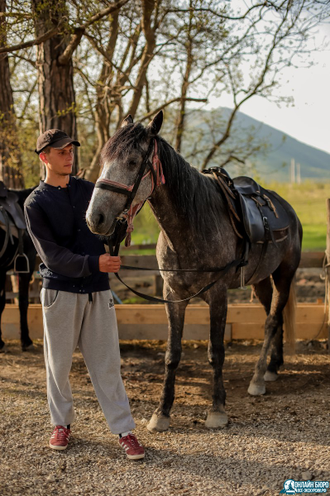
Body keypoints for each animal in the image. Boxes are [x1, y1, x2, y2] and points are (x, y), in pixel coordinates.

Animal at [86, 110, 302, 432]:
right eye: (104, 159)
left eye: (133, 162)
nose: (95, 218)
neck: (191, 226)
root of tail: (287, 209)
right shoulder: (173, 296)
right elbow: (172, 354)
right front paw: (162, 411)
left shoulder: (218, 296)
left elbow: (216, 352)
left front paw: (217, 409)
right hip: (261, 280)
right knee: (271, 317)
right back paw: (273, 366)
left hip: (284, 275)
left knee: (272, 320)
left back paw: (258, 378)